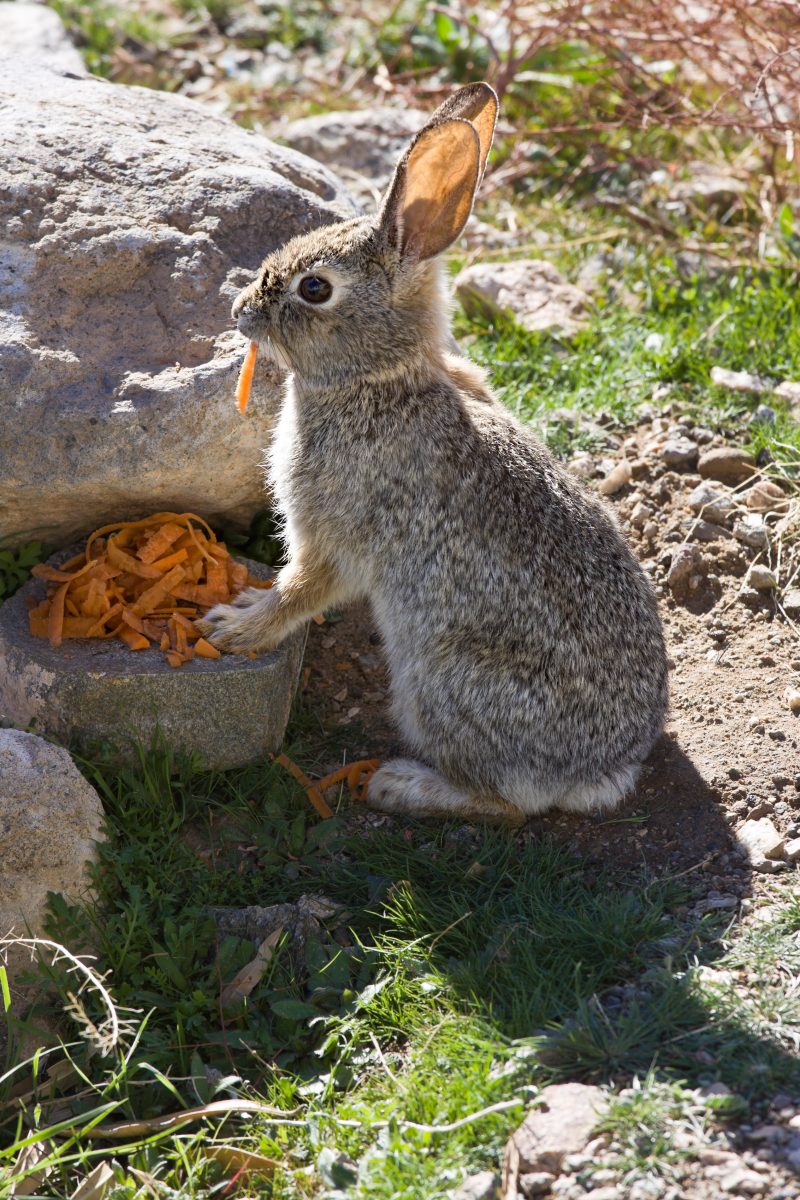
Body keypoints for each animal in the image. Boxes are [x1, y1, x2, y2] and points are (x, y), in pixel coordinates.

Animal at [200, 79, 671, 820]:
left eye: (315, 288)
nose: (240, 312)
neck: (379, 378)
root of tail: (600, 772)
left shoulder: (335, 530)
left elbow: (301, 589)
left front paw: (235, 626)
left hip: (436, 679)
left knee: (507, 804)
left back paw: (402, 784)